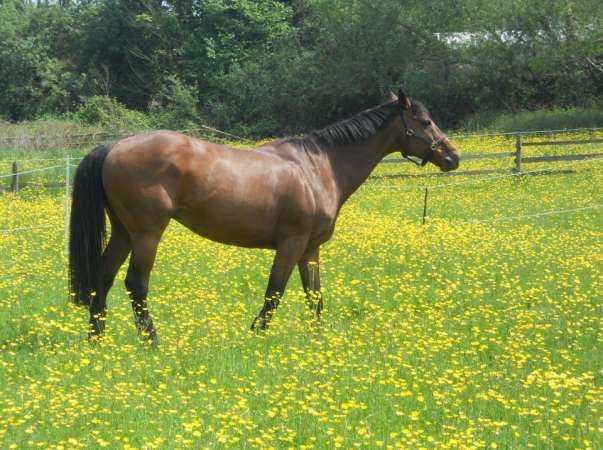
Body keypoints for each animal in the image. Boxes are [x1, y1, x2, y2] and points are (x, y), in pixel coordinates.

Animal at [68, 89, 460, 340]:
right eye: (425, 121)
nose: (452, 157)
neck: (318, 167)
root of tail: (113, 146)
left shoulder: (310, 249)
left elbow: (314, 297)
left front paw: (319, 341)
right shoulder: (291, 243)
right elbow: (275, 292)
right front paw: (256, 334)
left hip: (123, 232)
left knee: (102, 278)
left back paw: (96, 338)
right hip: (147, 234)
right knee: (135, 284)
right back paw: (151, 339)